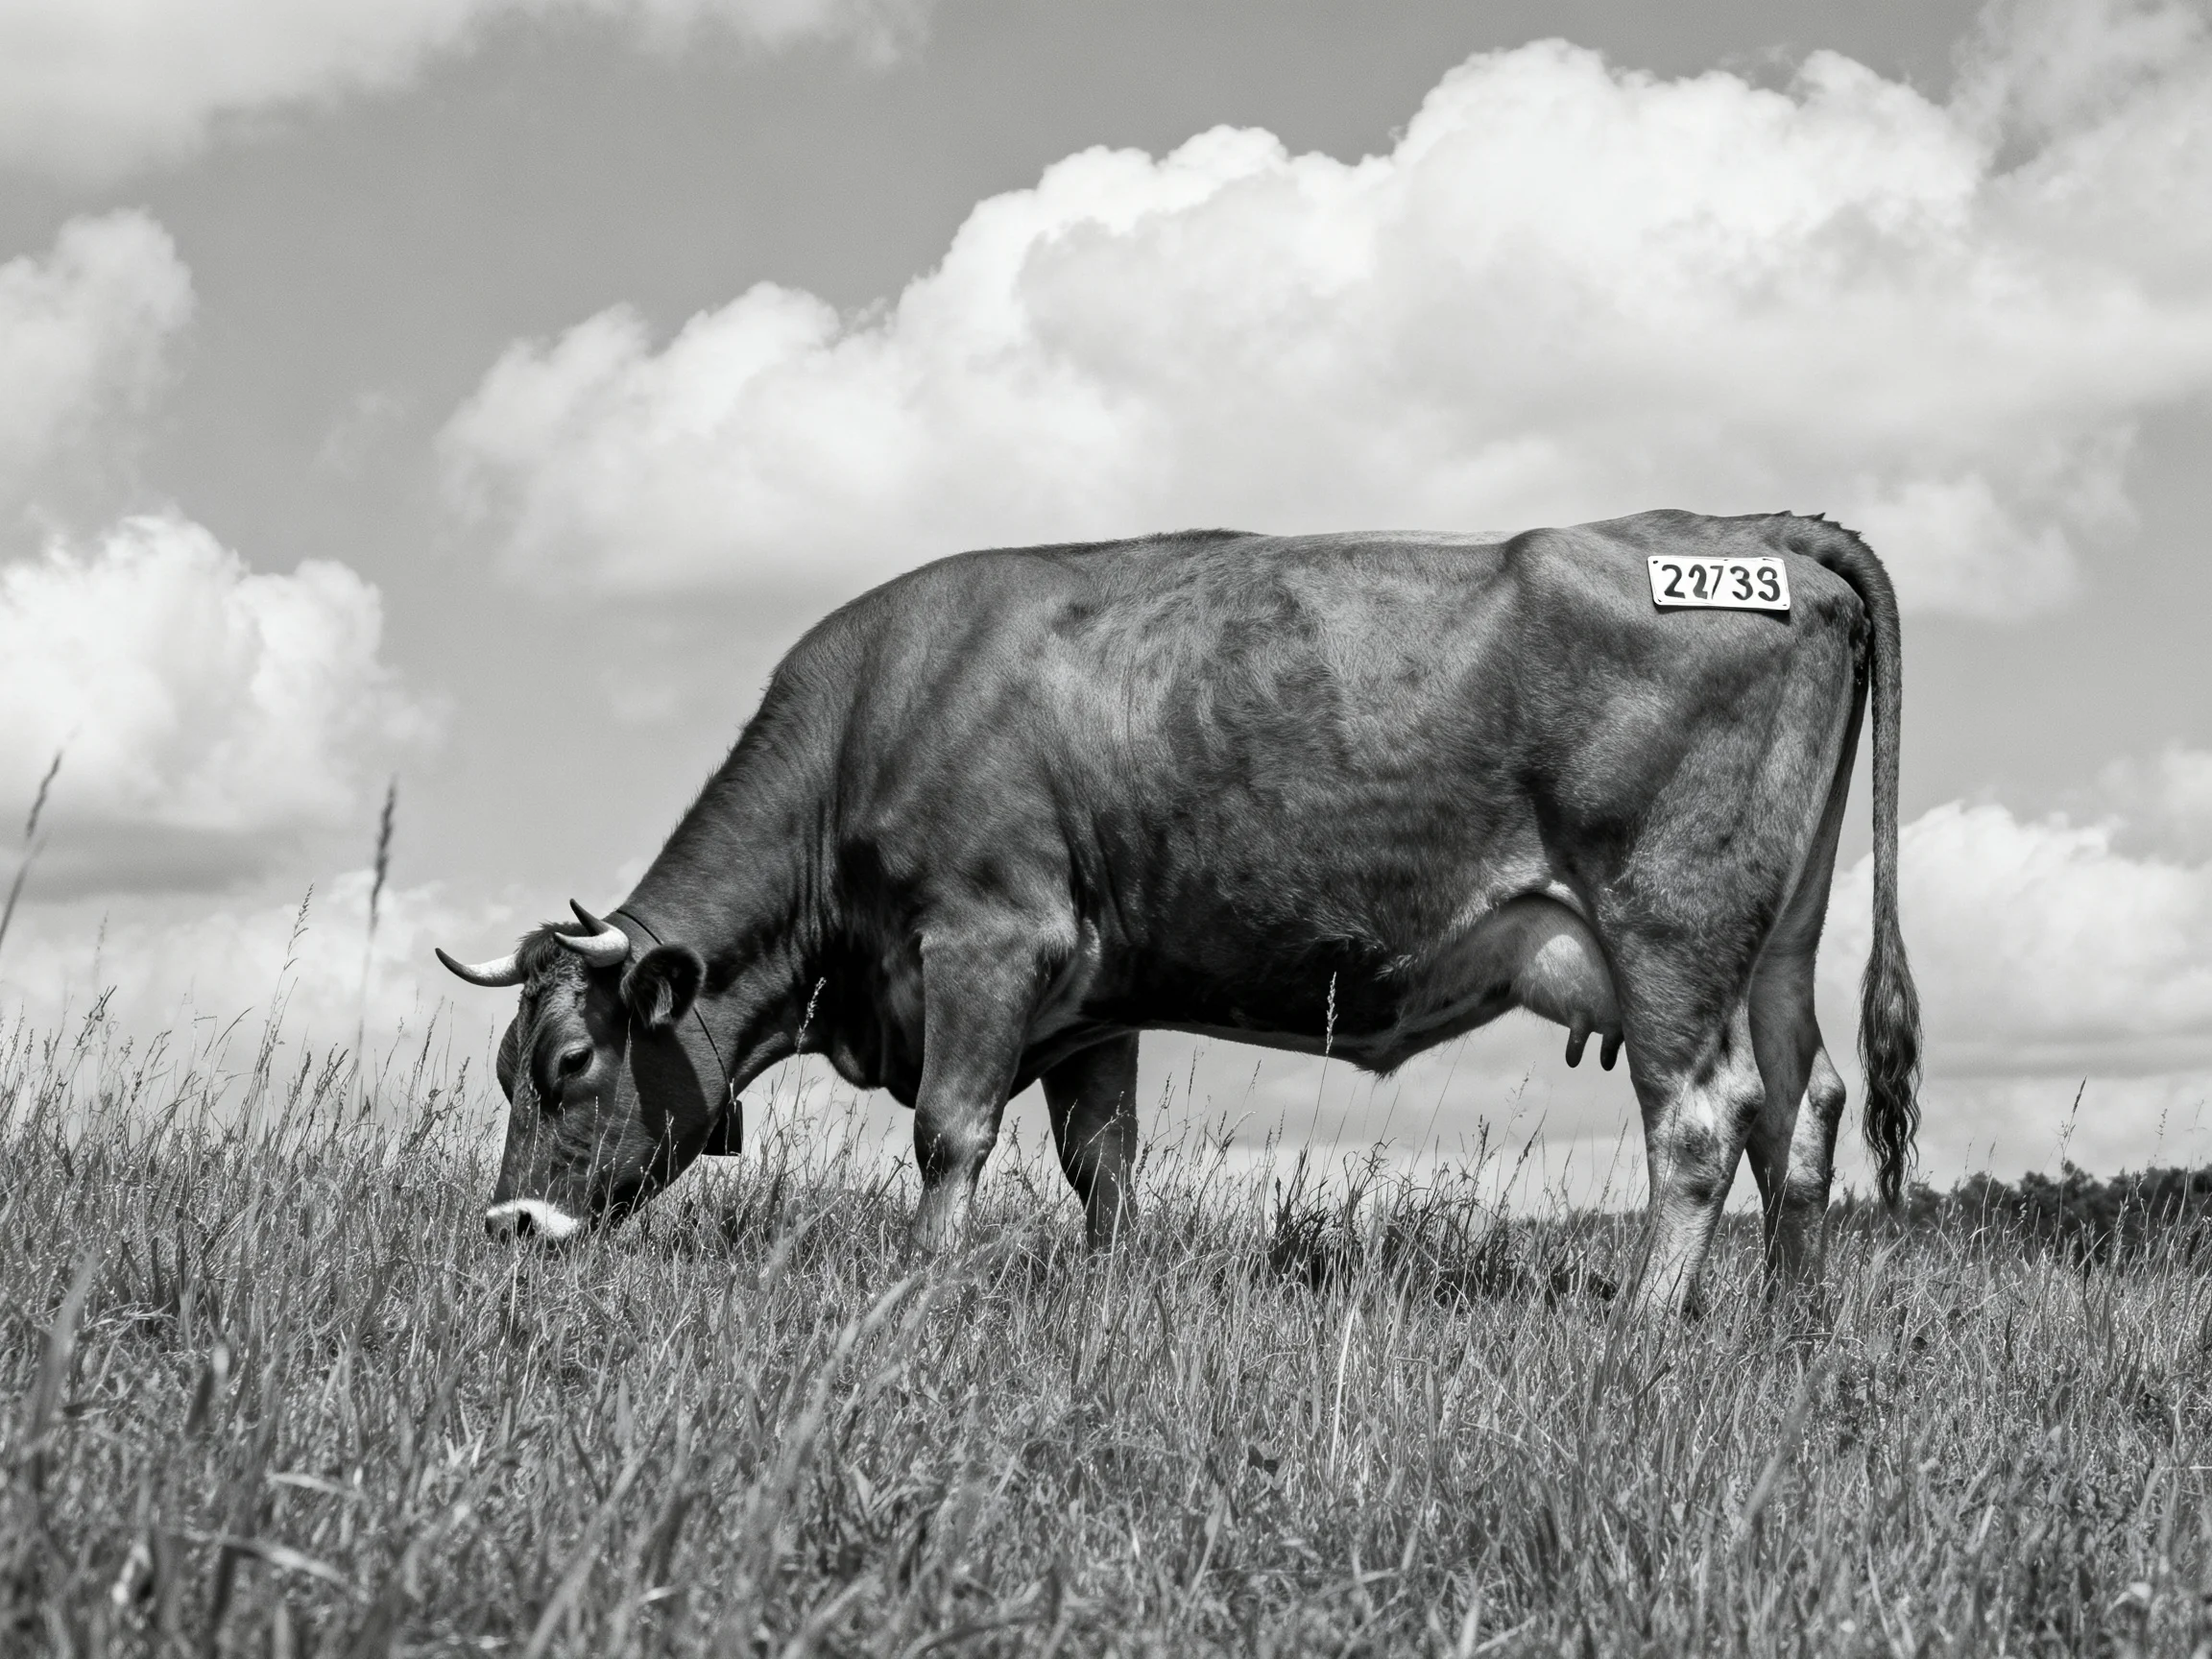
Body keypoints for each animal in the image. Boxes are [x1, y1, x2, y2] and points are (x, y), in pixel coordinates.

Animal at [439, 510, 1920, 1314]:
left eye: (569, 1062)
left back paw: (1645, 1330)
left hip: (1669, 926)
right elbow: (1104, 1165)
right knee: (1807, 1106)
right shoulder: (1093, 1004)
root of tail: (1747, 535)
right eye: (509, 1064)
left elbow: (949, 1133)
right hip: (1776, 938)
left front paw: (916, 1290)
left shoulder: (989, 942)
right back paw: (1783, 1323)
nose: (508, 1230)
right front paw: (1104, 1297)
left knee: (1703, 1119)